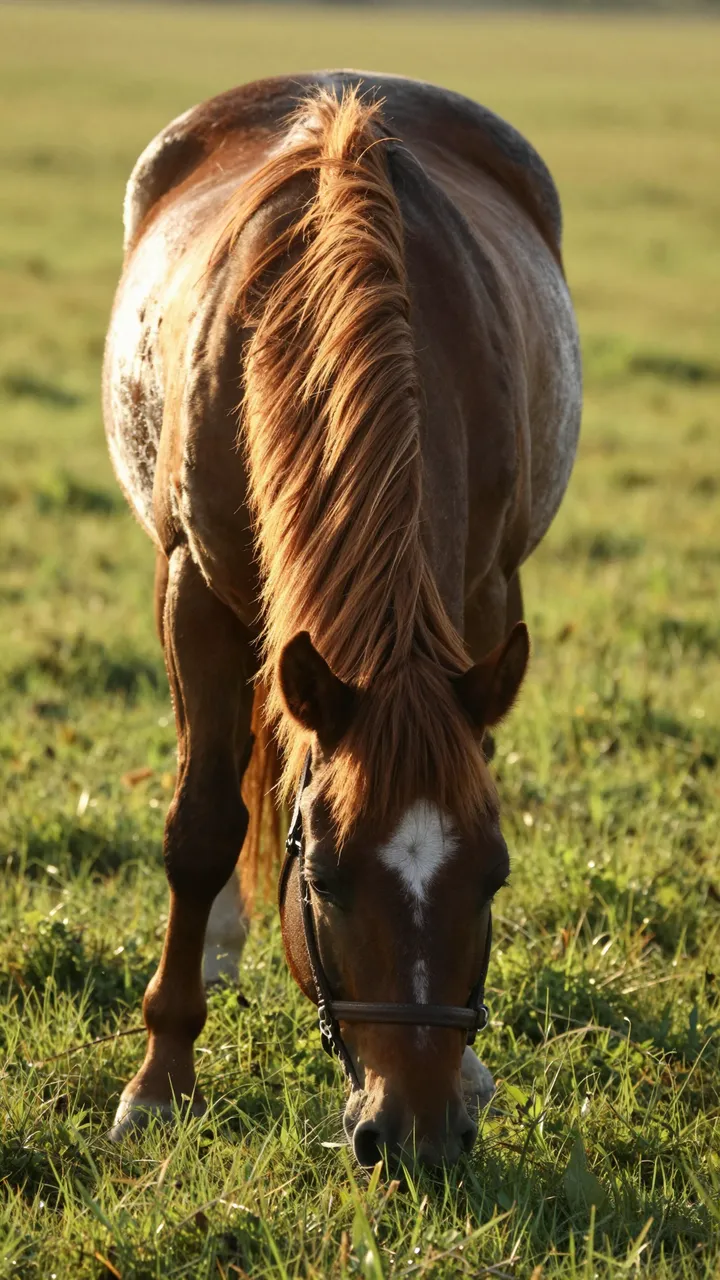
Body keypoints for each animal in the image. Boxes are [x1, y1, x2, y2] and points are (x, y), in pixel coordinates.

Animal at [103, 72, 581, 1166]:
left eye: (495, 878)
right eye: (321, 879)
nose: (416, 1136)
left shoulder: (486, 594)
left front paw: (475, 1072)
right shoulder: (194, 590)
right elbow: (201, 823)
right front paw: (162, 1079)